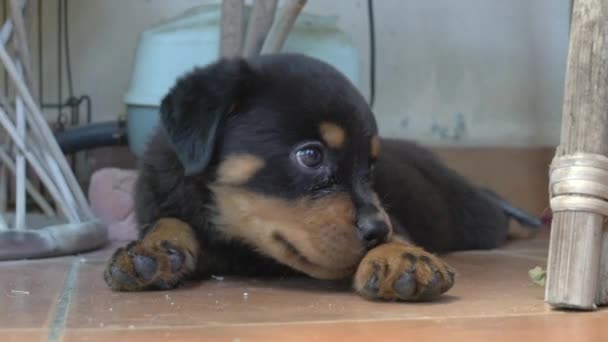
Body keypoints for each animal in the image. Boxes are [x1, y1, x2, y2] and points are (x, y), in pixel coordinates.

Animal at [103, 53, 536, 302]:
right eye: (311, 156)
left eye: (370, 167)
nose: (376, 230)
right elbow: (168, 220)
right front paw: (153, 249)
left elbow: (400, 232)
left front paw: (399, 255)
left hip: (474, 220)